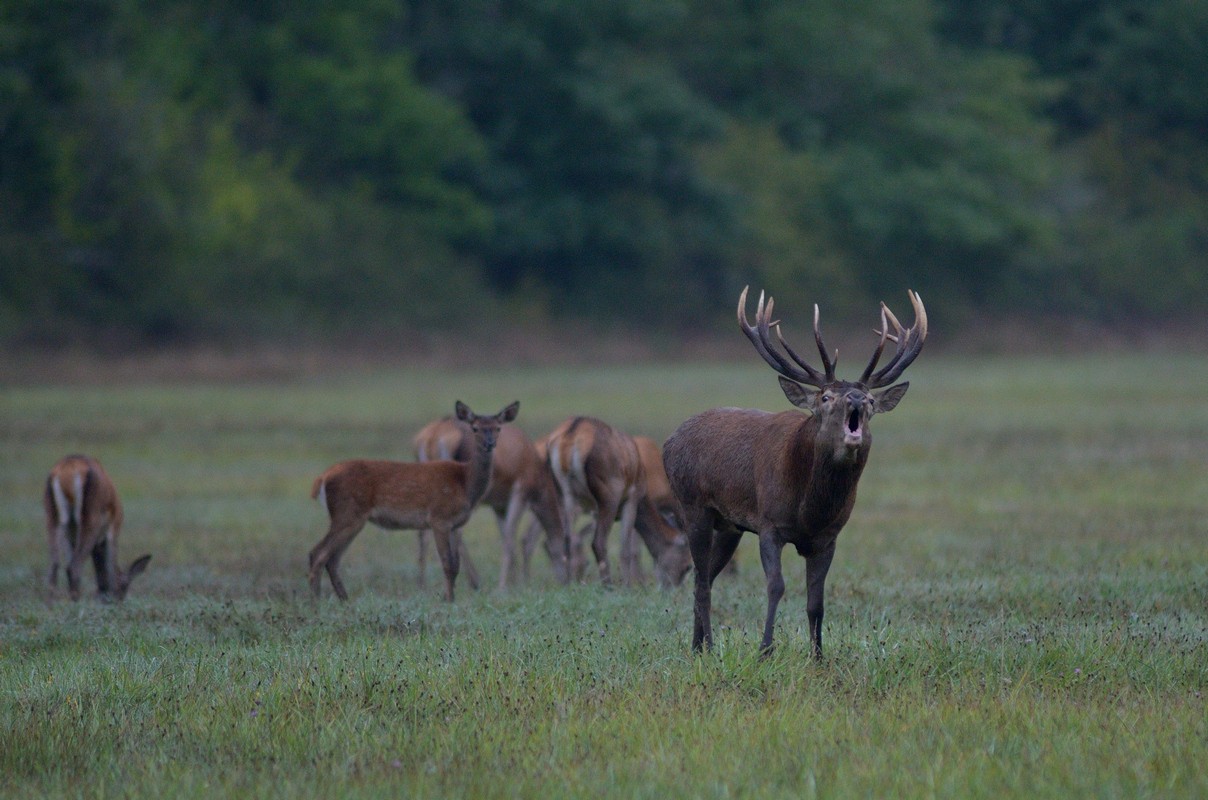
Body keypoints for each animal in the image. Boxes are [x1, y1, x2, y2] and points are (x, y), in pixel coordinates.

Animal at [43, 456, 151, 601]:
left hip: (52, 515)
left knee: (54, 565)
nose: (119, 600)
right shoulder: (113, 528)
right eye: (124, 586)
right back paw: (76, 601)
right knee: (73, 567)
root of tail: (67, 471)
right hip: (91, 517)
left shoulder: (72, 535)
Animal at [309, 401, 517, 601]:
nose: (490, 443)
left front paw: (450, 596)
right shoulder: (439, 518)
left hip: (351, 518)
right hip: (347, 513)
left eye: (498, 427)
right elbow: (447, 563)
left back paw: (344, 600)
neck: (465, 483)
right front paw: (449, 599)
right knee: (318, 553)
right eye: (475, 428)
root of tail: (323, 477)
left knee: (332, 559)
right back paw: (315, 602)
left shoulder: (455, 524)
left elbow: (455, 565)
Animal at [413, 420, 567, 589]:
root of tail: (431, 438)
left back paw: (422, 583)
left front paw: (513, 581)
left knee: (424, 533)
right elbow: (509, 538)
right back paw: (473, 581)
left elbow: (505, 535)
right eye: (570, 554)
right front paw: (510, 584)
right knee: (455, 533)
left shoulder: (499, 505)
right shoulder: (520, 492)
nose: (569, 580)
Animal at [546, 420, 690, 589]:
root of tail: (573, 432)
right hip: (609, 494)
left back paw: (568, 584)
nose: (672, 588)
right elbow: (627, 550)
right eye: (687, 566)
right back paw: (608, 586)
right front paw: (629, 586)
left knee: (566, 540)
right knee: (598, 542)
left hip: (563, 494)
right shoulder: (632, 498)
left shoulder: (595, 512)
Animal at [666, 288, 927, 657]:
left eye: (872, 401)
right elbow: (776, 586)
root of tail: (669, 441)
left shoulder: (828, 537)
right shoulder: (769, 524)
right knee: (701, 581)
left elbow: (816, 601)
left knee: (703, 578)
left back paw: (697, 647)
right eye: (826, 397)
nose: (856, 399)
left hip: (729, 526)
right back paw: (710, 647)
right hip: (692, 507)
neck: (810, 509)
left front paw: (818, 655)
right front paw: (765, 650)